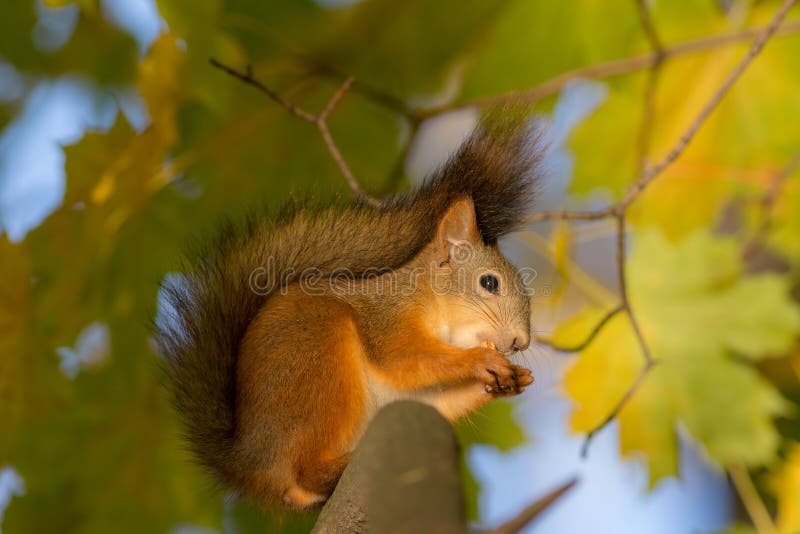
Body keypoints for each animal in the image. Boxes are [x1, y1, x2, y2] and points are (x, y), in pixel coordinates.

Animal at [156, 115, 542, 510]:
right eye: (489, 283)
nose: (519, 341)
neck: (430, 303)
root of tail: (248, 463)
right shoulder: (386, 318)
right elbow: (401, 358)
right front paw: (480, 361)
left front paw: (512, 378)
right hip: (318, 361)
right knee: (305, 471)